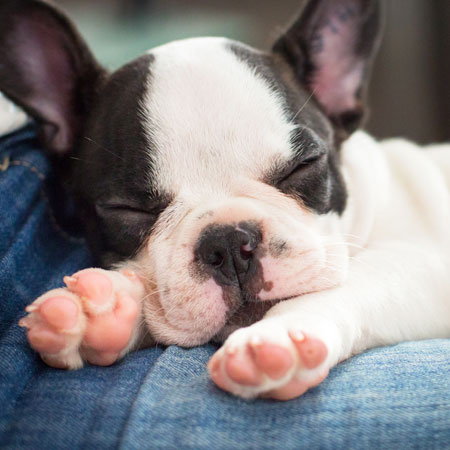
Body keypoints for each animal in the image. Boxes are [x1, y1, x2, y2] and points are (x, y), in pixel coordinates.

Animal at [1, 0, 448, 400]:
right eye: (127, 210)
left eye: (302, 166)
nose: (230, 243)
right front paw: (101, 310)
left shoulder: (422, 266)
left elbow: (351, 283)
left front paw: (280, 334)